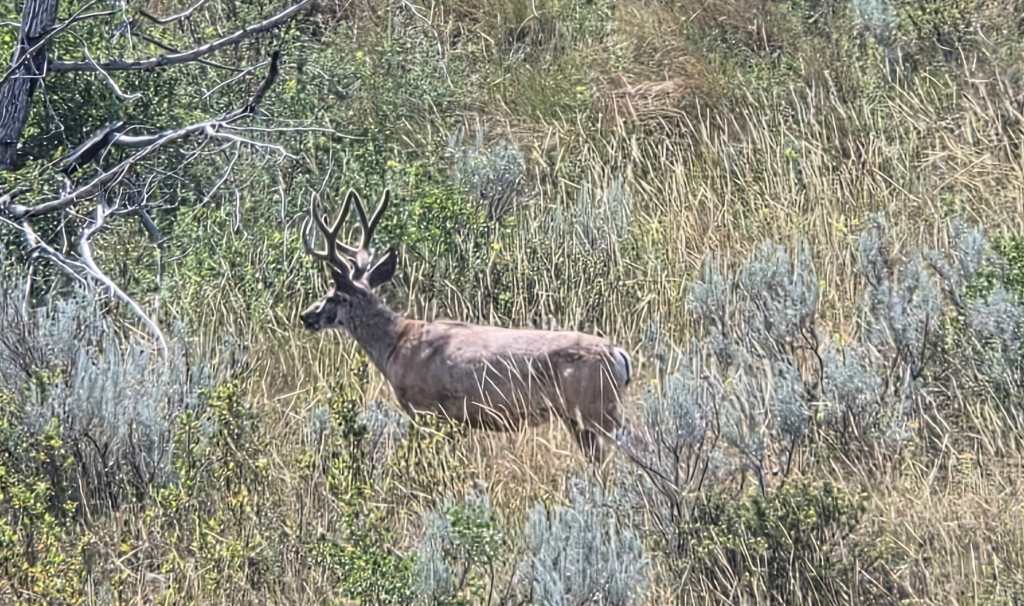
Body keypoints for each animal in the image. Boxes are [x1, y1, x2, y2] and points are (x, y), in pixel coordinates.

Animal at [299, 188, 633, 462]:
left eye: (334, 295)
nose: (306, 315)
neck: (397, 345)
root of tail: (618, 355)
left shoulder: (427, 409)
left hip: (598, 408)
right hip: (581, 418)